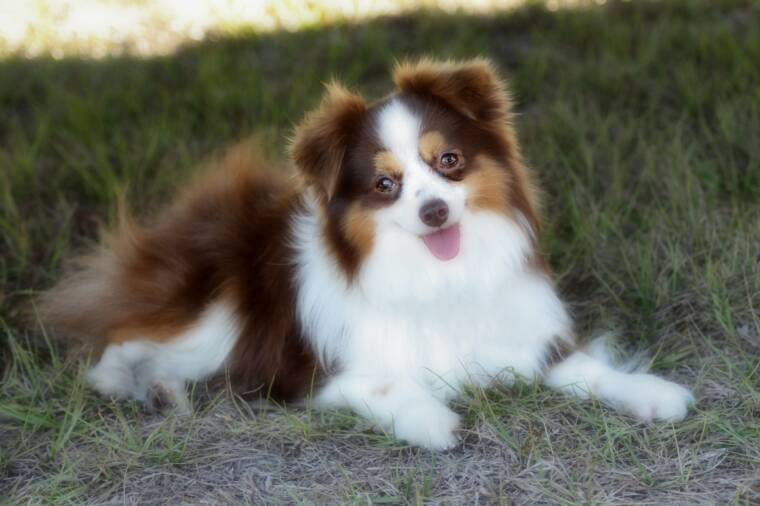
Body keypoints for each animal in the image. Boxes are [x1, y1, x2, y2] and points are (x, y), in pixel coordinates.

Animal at [41, 57, 696, 448]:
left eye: (448, 161)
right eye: (385, 184)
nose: (434, 212)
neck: (439, 276)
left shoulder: (525, 338)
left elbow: (588, 368)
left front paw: (652, 392)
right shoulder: (307, 374)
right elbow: (384, 385)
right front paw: (434, 421)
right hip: (216, 317)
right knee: (120, 342)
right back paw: (146, 387)